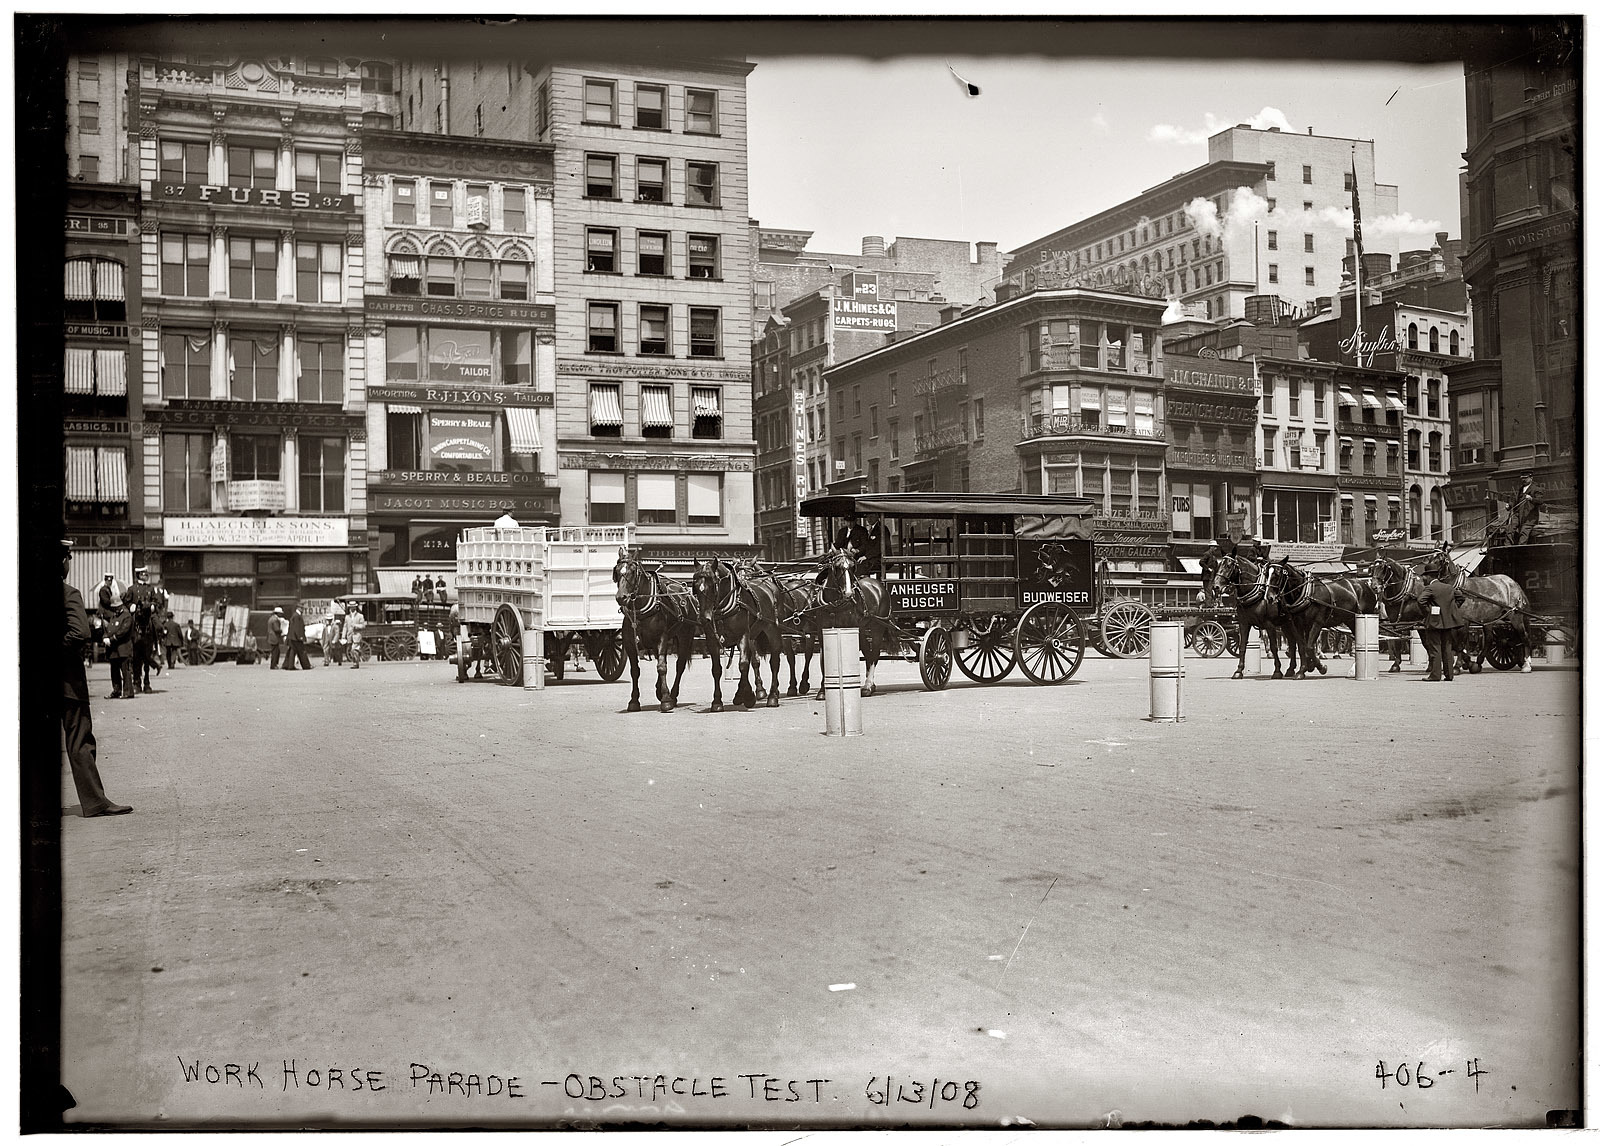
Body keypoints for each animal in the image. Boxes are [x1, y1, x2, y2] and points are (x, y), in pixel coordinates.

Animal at [608, 550, 697, 710]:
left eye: (632, 571)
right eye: (616, 571)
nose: (621, 597)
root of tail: (686, 590)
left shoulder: (662, 638)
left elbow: (662, 667)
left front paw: (666, 699)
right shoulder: (630, 643)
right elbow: (635, 671)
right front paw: (634, 700)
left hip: (685, 635)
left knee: (679, 665)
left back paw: (673, 695)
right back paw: (659, 689)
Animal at [691, 560, 784, 710]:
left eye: (713, 584)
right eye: (695, 586)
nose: (704, 618)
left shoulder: (743, 636)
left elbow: (743, 665)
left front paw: (749, 696)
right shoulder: (712, 640)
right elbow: (717, 669)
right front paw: (717, 701)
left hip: (773, 630)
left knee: (774, 661)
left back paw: (772, 696)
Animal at [1203, 553, 1299, 681]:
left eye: (1229, 566)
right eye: (1219, 565)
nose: (1216, 587)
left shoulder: (1270, 625)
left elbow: (1274, 647)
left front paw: (1277, 671)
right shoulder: (1244, 624)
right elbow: (1242, 646)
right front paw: (1238, 671)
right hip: (1285, 624)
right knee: (1292, 642)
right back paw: (1291, 669)